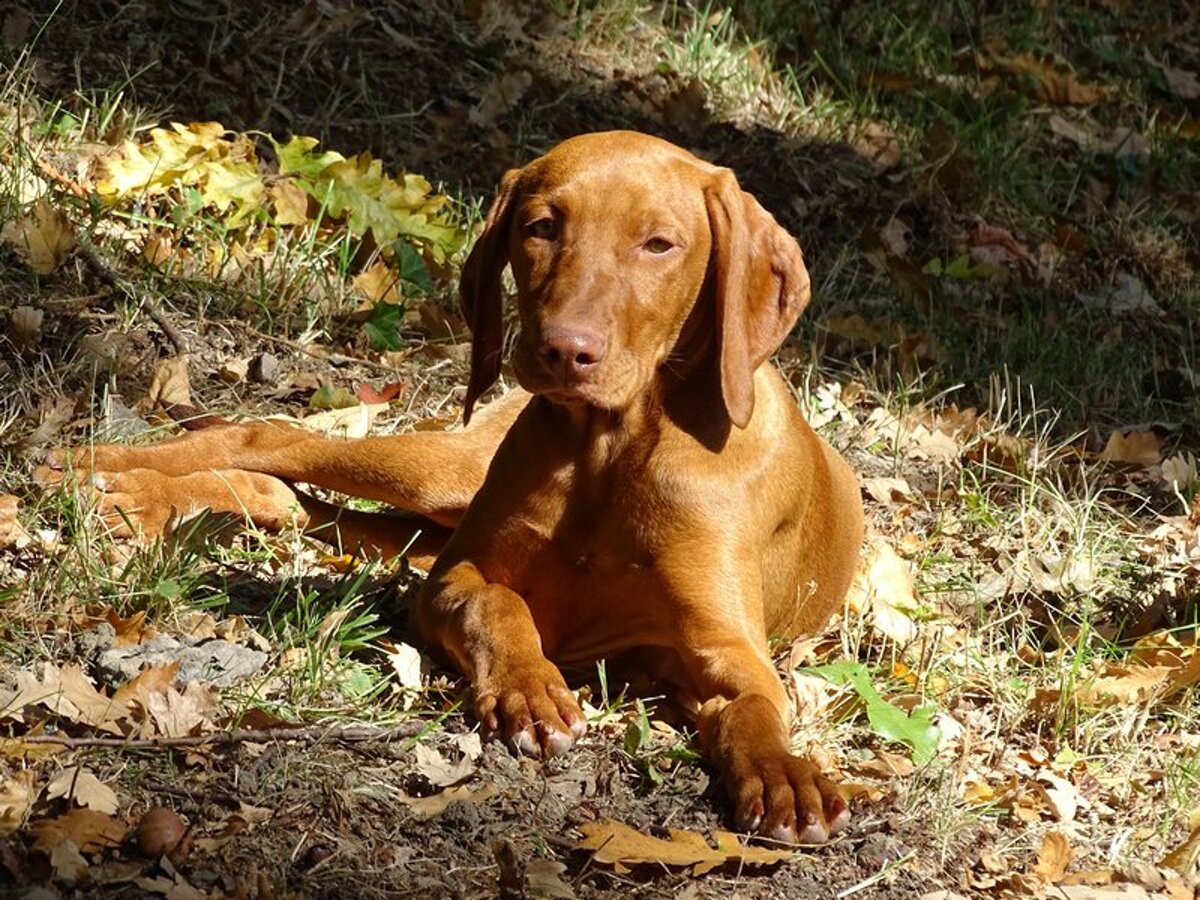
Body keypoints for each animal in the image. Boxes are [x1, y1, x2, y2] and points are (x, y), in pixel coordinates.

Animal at [38, 131, 864, 843]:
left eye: (659, 244)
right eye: (541, 227)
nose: (563, 351)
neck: (610, 448)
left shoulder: (721, 652)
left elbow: (757, 708)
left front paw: (785, 777)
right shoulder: (451, 578)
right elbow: (498, 606)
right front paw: (530, 690)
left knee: (293, 500)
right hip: (447, 474)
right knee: (270, 438)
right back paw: (93, 467)